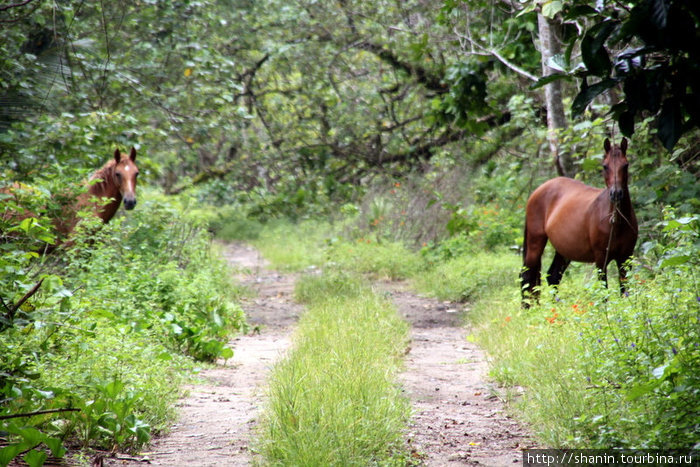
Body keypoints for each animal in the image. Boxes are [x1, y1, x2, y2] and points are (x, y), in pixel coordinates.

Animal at [520, 139, 640, 308]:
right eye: (605, 166)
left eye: (626, 165)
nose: (616, 194)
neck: (617, 222)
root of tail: (538, 191)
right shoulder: (601, 258)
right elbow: (604, 291)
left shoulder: (626, 257)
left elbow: (624, 290)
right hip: (535, 243)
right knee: (526, 276)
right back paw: (528, 310)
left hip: (563, 250)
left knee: (552, 276)